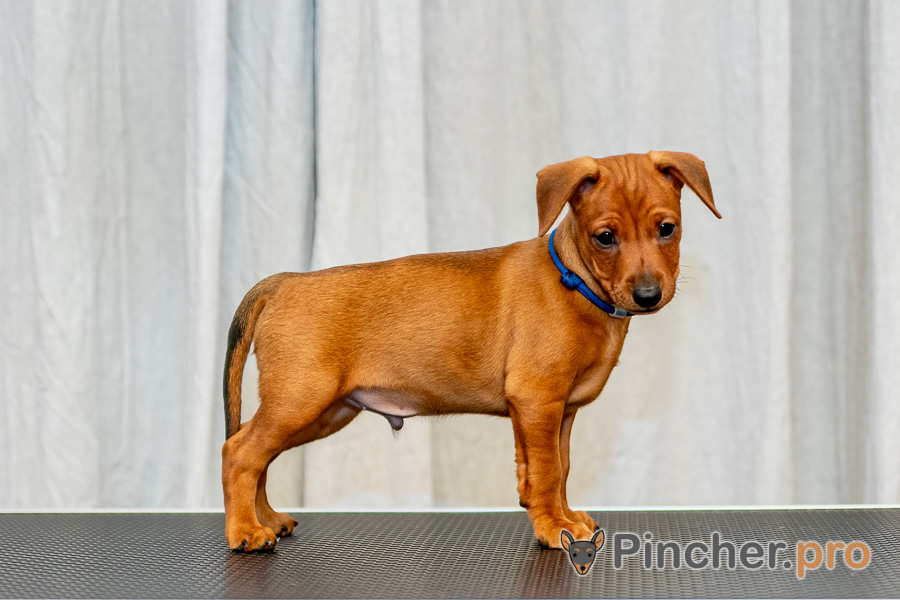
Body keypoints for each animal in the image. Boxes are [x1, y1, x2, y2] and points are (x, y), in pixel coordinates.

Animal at [221, 151, 720, 552]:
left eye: (667, 229)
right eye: (605, 237)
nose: (648, 295)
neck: (574, 282)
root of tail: (282, 282)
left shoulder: (556, 411)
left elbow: (556, 469)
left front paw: (560, 517)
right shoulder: (537, 400)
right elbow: (547, 472)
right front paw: (553, 528)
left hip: (324, 411)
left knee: (258, 455)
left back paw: (267, 519)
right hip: (300, 400)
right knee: (239, 451)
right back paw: (245, 531)